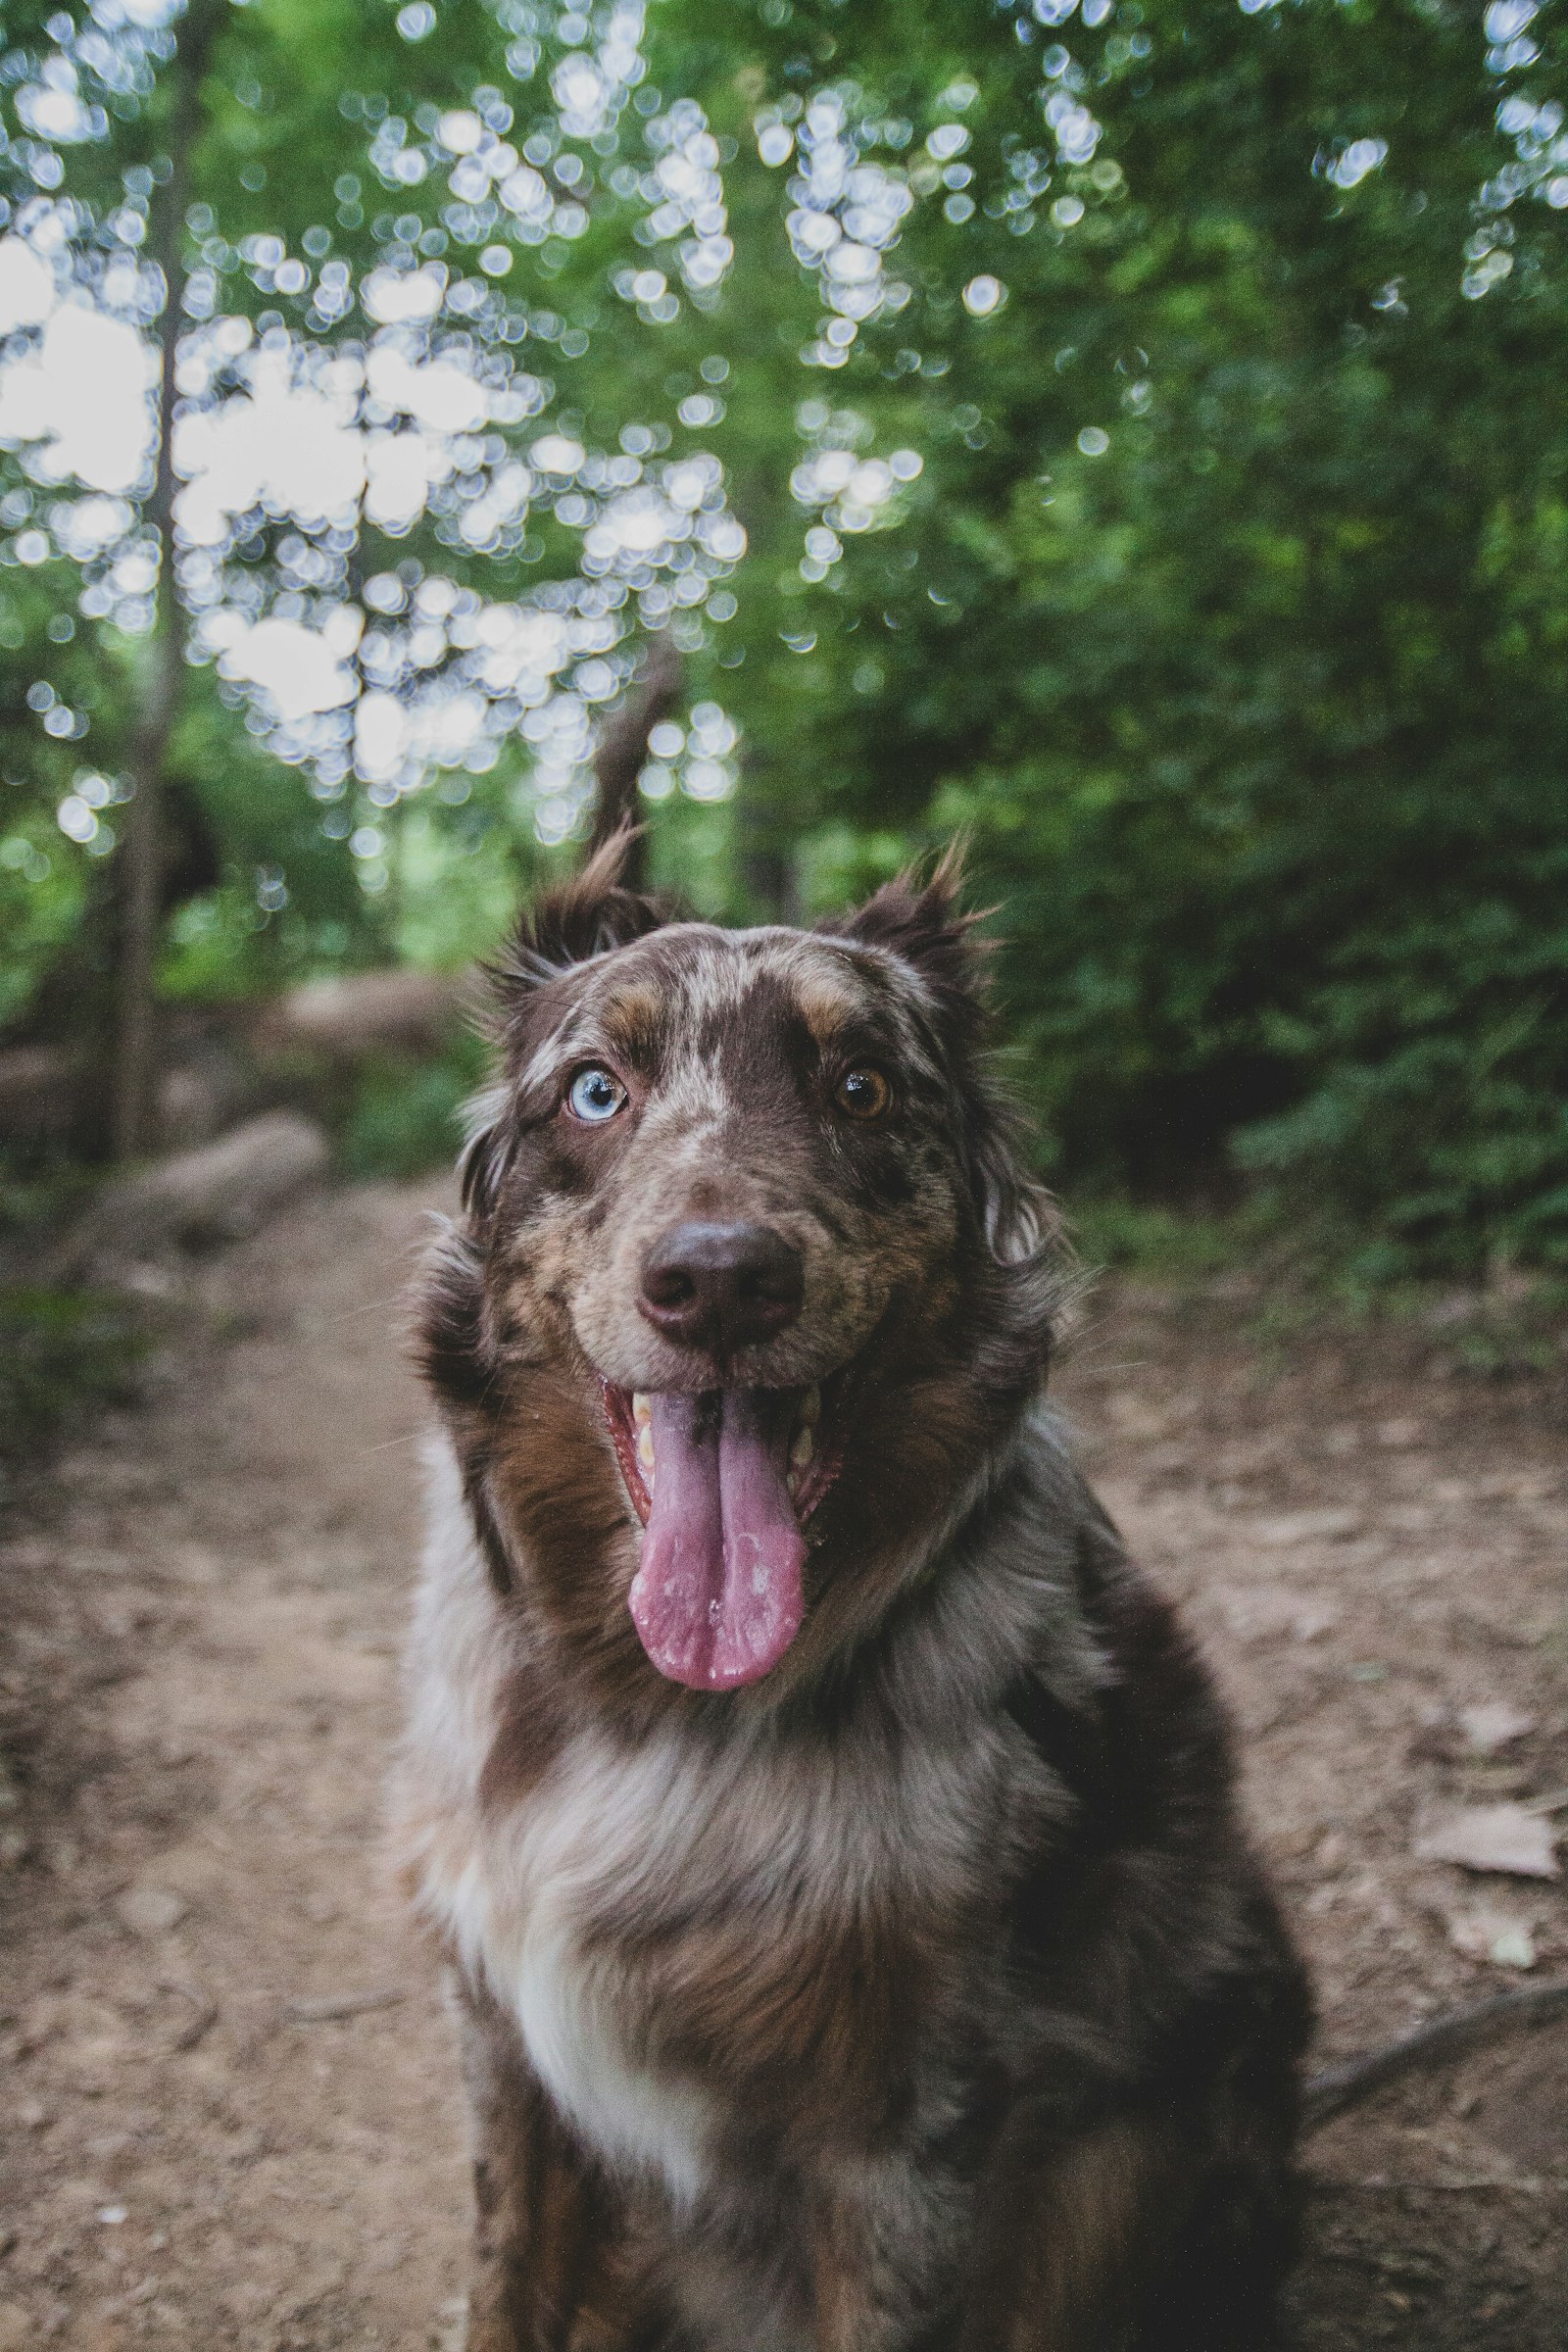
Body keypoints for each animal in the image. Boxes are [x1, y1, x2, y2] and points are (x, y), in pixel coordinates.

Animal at [394, 847, 1316, 2352]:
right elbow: (502, 2288)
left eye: (862, 1087)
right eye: (594, 1090)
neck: (654, 1708)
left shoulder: (906, 2129)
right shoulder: (502, 2044)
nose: (718, 1281)